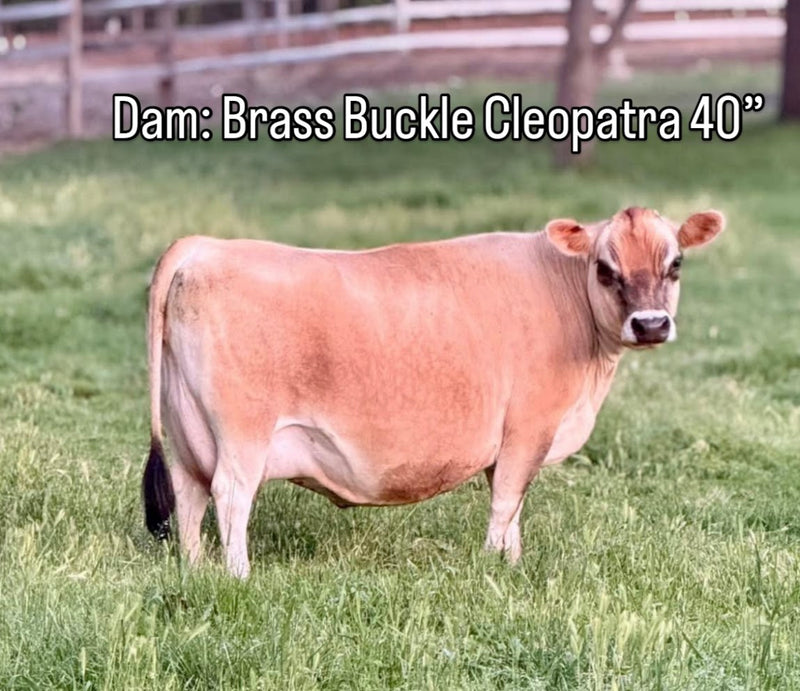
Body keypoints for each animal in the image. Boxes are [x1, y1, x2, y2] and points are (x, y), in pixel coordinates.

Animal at [142, 207, 724, 577]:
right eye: (605, 268)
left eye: (675, 263)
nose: (650, 324)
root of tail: (204, 246)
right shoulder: (529, 428)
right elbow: (506, 503)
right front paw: (495, 569)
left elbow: (512, 508)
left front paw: (512, 563)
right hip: (243, 432)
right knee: (230, 495)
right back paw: (238, 576)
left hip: (188, 430)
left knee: (189, 495)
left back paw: (196, 570)